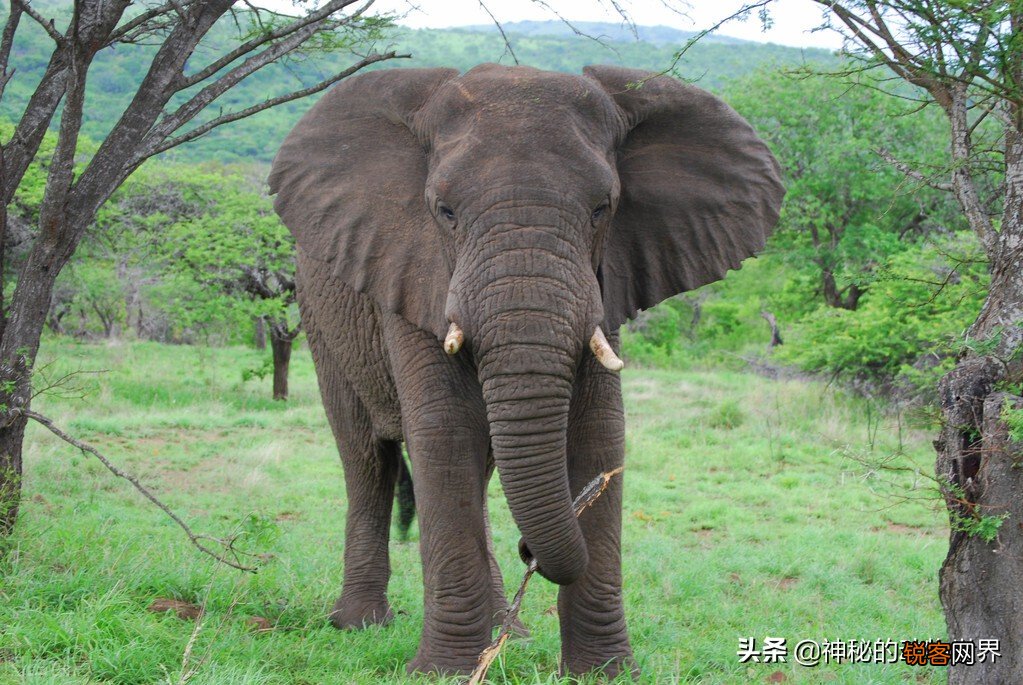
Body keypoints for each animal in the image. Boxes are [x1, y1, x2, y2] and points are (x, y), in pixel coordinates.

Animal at [268, 63, 784, 677]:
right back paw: (360, 624)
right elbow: (444, 432)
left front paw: (604, 674)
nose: (530, 551)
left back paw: (509, 631)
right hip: (321, 319)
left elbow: (599, 433)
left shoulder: (607, 279)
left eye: (603, 208)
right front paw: (443, 673)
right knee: (367, 456)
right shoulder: (412, 269)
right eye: (444, 211)